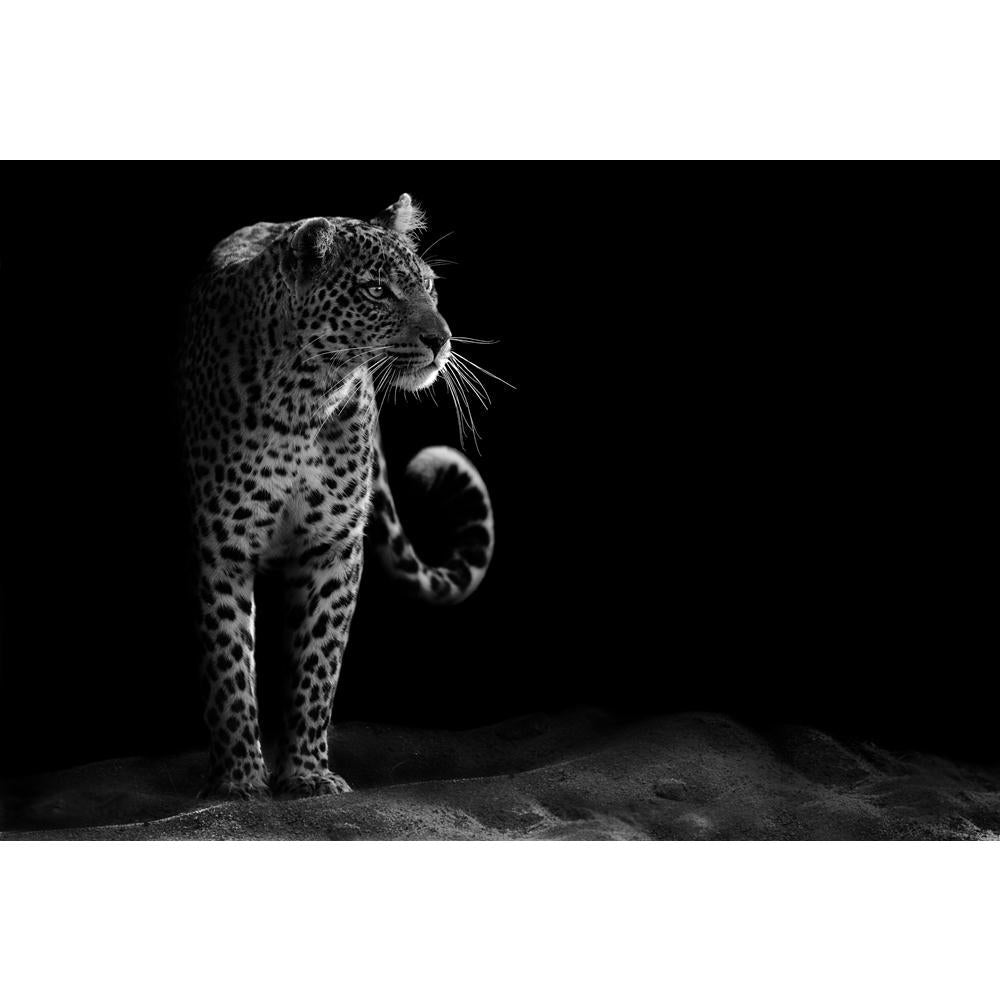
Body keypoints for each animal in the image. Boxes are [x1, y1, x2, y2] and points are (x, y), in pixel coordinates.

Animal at [179, 194, 494, 798]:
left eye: (428, 285)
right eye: (376, 290)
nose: (441, 339)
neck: (305, 396)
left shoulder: (334, 547)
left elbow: (317, 664)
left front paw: (306, 773)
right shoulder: (222, 545)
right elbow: (229, 664)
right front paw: (239, 779)